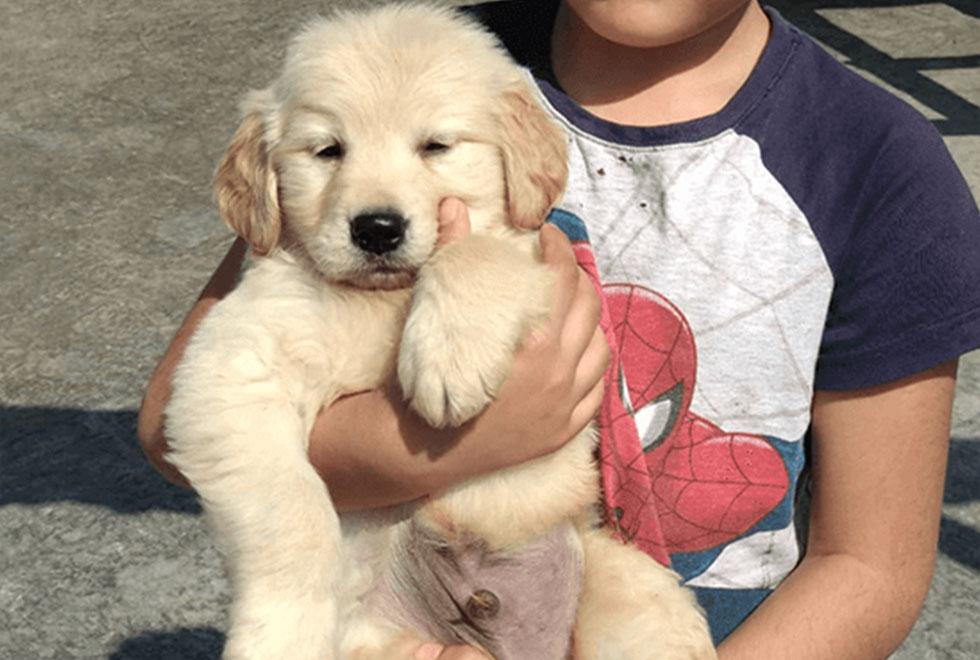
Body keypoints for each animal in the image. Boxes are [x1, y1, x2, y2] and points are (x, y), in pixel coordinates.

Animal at [165, 5, 716, 660]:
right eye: (328, 151)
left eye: (435, 146)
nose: (377, 229)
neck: (385, 298)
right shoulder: (233, 366)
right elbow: (291, 513)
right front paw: (280, 635)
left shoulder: (546, 268)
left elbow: (475, 250)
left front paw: (449, 362)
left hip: (633, 591)